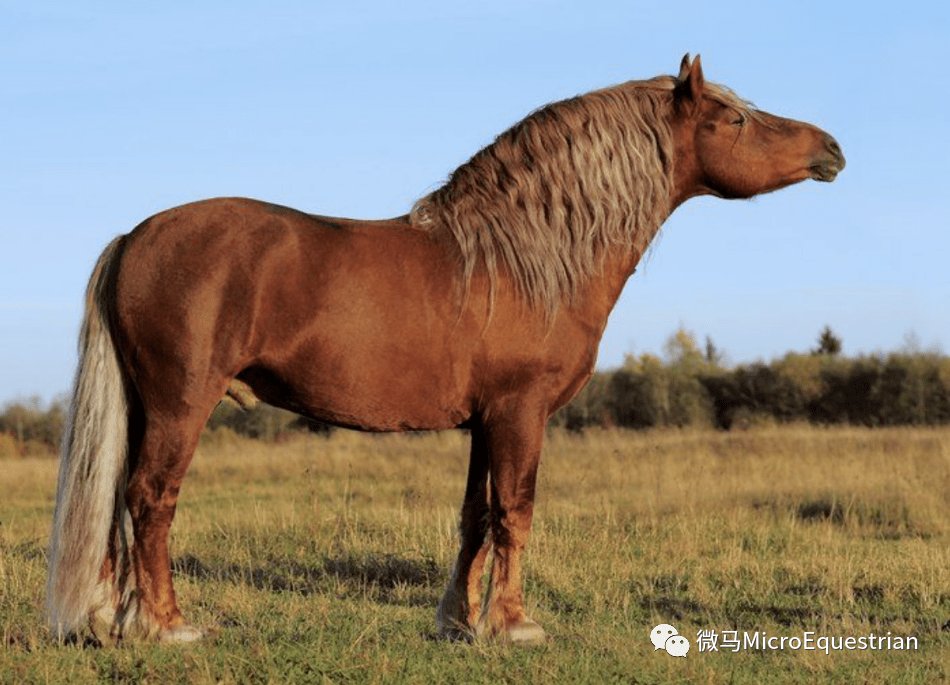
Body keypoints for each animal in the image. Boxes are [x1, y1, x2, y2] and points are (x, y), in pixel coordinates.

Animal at [48, 56, 844, 644]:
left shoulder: (485, 421)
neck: (525, 259)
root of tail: (136, 236)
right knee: (150, 499)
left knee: (121, 502)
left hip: (147, 408)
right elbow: (516, 510)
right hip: (181, 404)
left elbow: (475, 517)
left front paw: (460, 621)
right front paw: (515, 625)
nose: (831, 148)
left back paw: (116, 620)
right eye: (734, 117)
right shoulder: (521, 413)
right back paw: (166, 625)